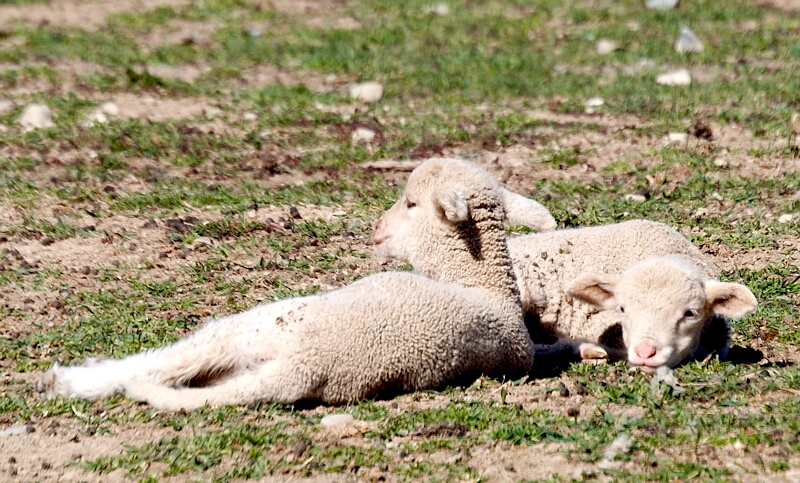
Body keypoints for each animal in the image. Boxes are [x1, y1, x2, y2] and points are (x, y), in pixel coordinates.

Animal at [36, 157, 536, 410]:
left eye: (411, 203)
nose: (375, 229)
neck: (483, 284)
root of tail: (308, 366)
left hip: (262, 323)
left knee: (167, 362)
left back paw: (67, 379)